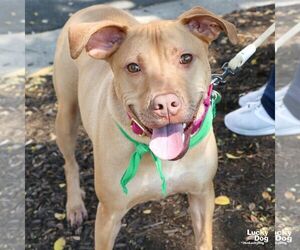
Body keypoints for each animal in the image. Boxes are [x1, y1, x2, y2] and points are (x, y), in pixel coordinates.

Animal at [53, 4, 237, 250]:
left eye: (186, 58)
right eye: (133, 67)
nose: (166, 104)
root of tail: (92, 8)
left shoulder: (202, 195)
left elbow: (203, 240)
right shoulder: (109, 216)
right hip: (67, 114)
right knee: (70, 164)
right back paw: (74, 204)